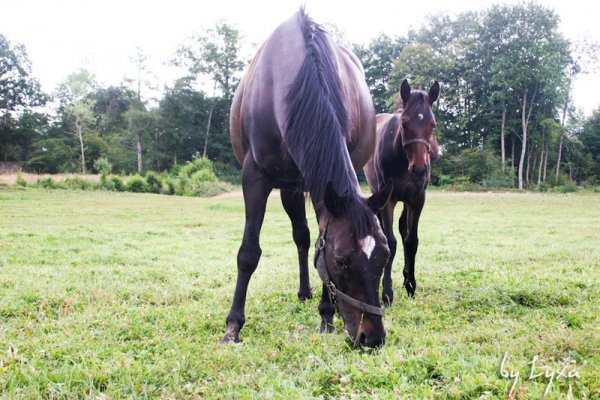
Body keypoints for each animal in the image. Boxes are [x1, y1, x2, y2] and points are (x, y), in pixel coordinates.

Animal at [225, 9, 394, 346]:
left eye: (383, 257)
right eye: (341, 260)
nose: (372, 337)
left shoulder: (323, 182)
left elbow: (318, 239)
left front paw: (326, 316)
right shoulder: (254, 176)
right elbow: (249, 252)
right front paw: (233, 325)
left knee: (304, 236)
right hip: (289, 187)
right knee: (300, 237)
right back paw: (303, 292)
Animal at [364, 80, 438, 306]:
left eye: (433, 124)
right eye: (404, 123)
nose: (420, 169)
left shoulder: (417, 199)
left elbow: (411, 241)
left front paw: (411, 284)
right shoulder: (388, 198)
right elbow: (391, 242)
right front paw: (387, 292)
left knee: (403, 227)